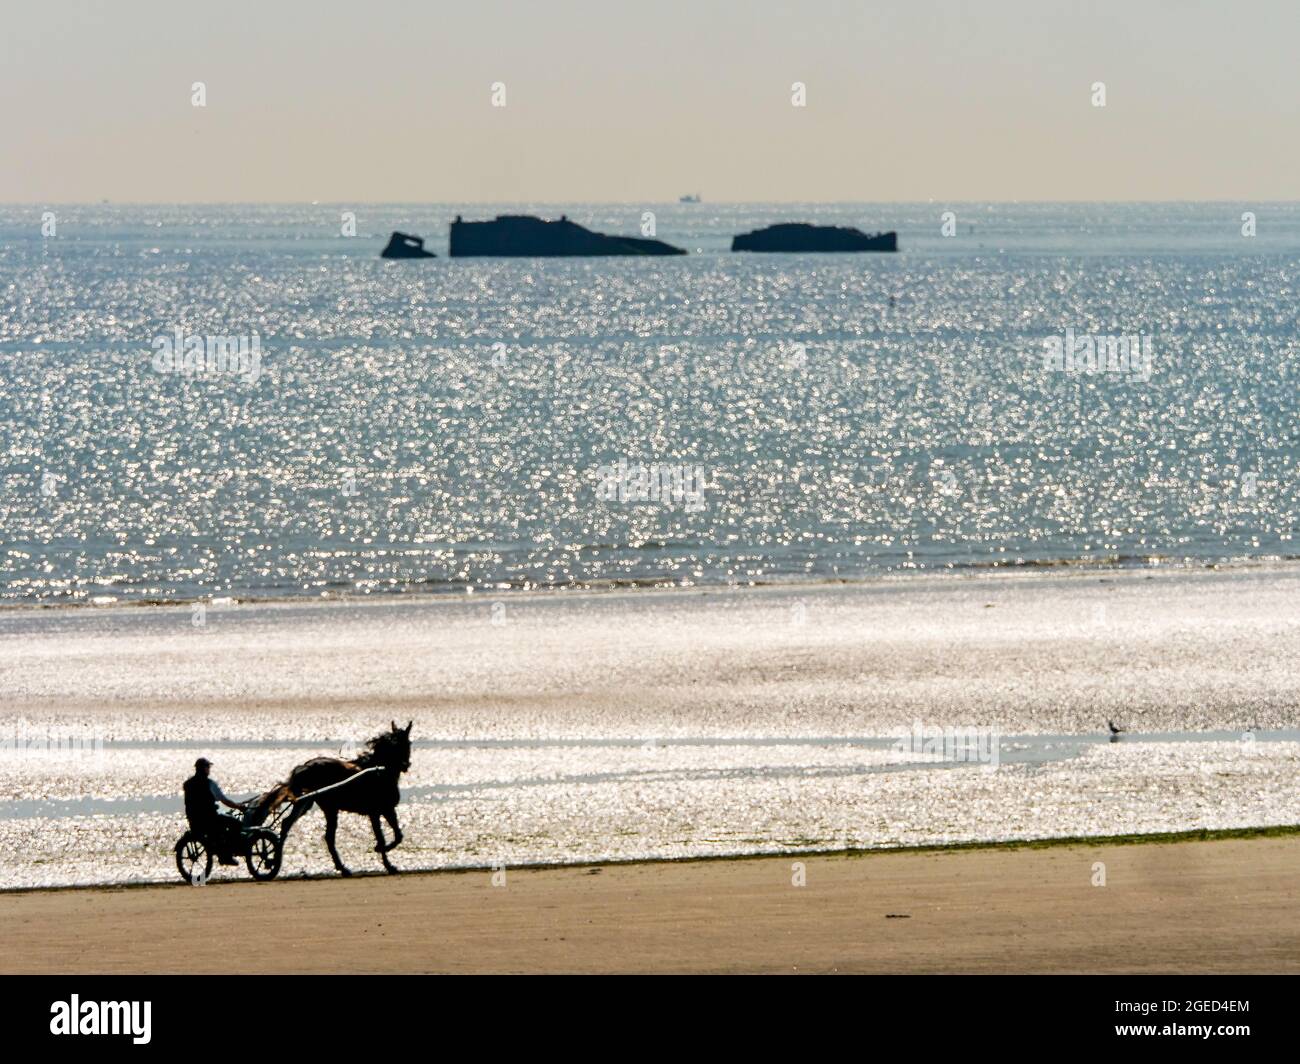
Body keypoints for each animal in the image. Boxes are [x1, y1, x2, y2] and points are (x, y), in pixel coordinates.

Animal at [247, 721, 413, 876]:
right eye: (398, 745)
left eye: (407, 743)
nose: (406, 765)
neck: (379, 770)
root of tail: (304, 766)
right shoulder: (375, 812)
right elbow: (382, 837)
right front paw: (386, 858)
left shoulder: (387, 809)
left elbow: (398, 835)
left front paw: (387, 858)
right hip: (318, 805)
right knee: (312, 832)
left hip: (310, 803)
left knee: (295, 826)